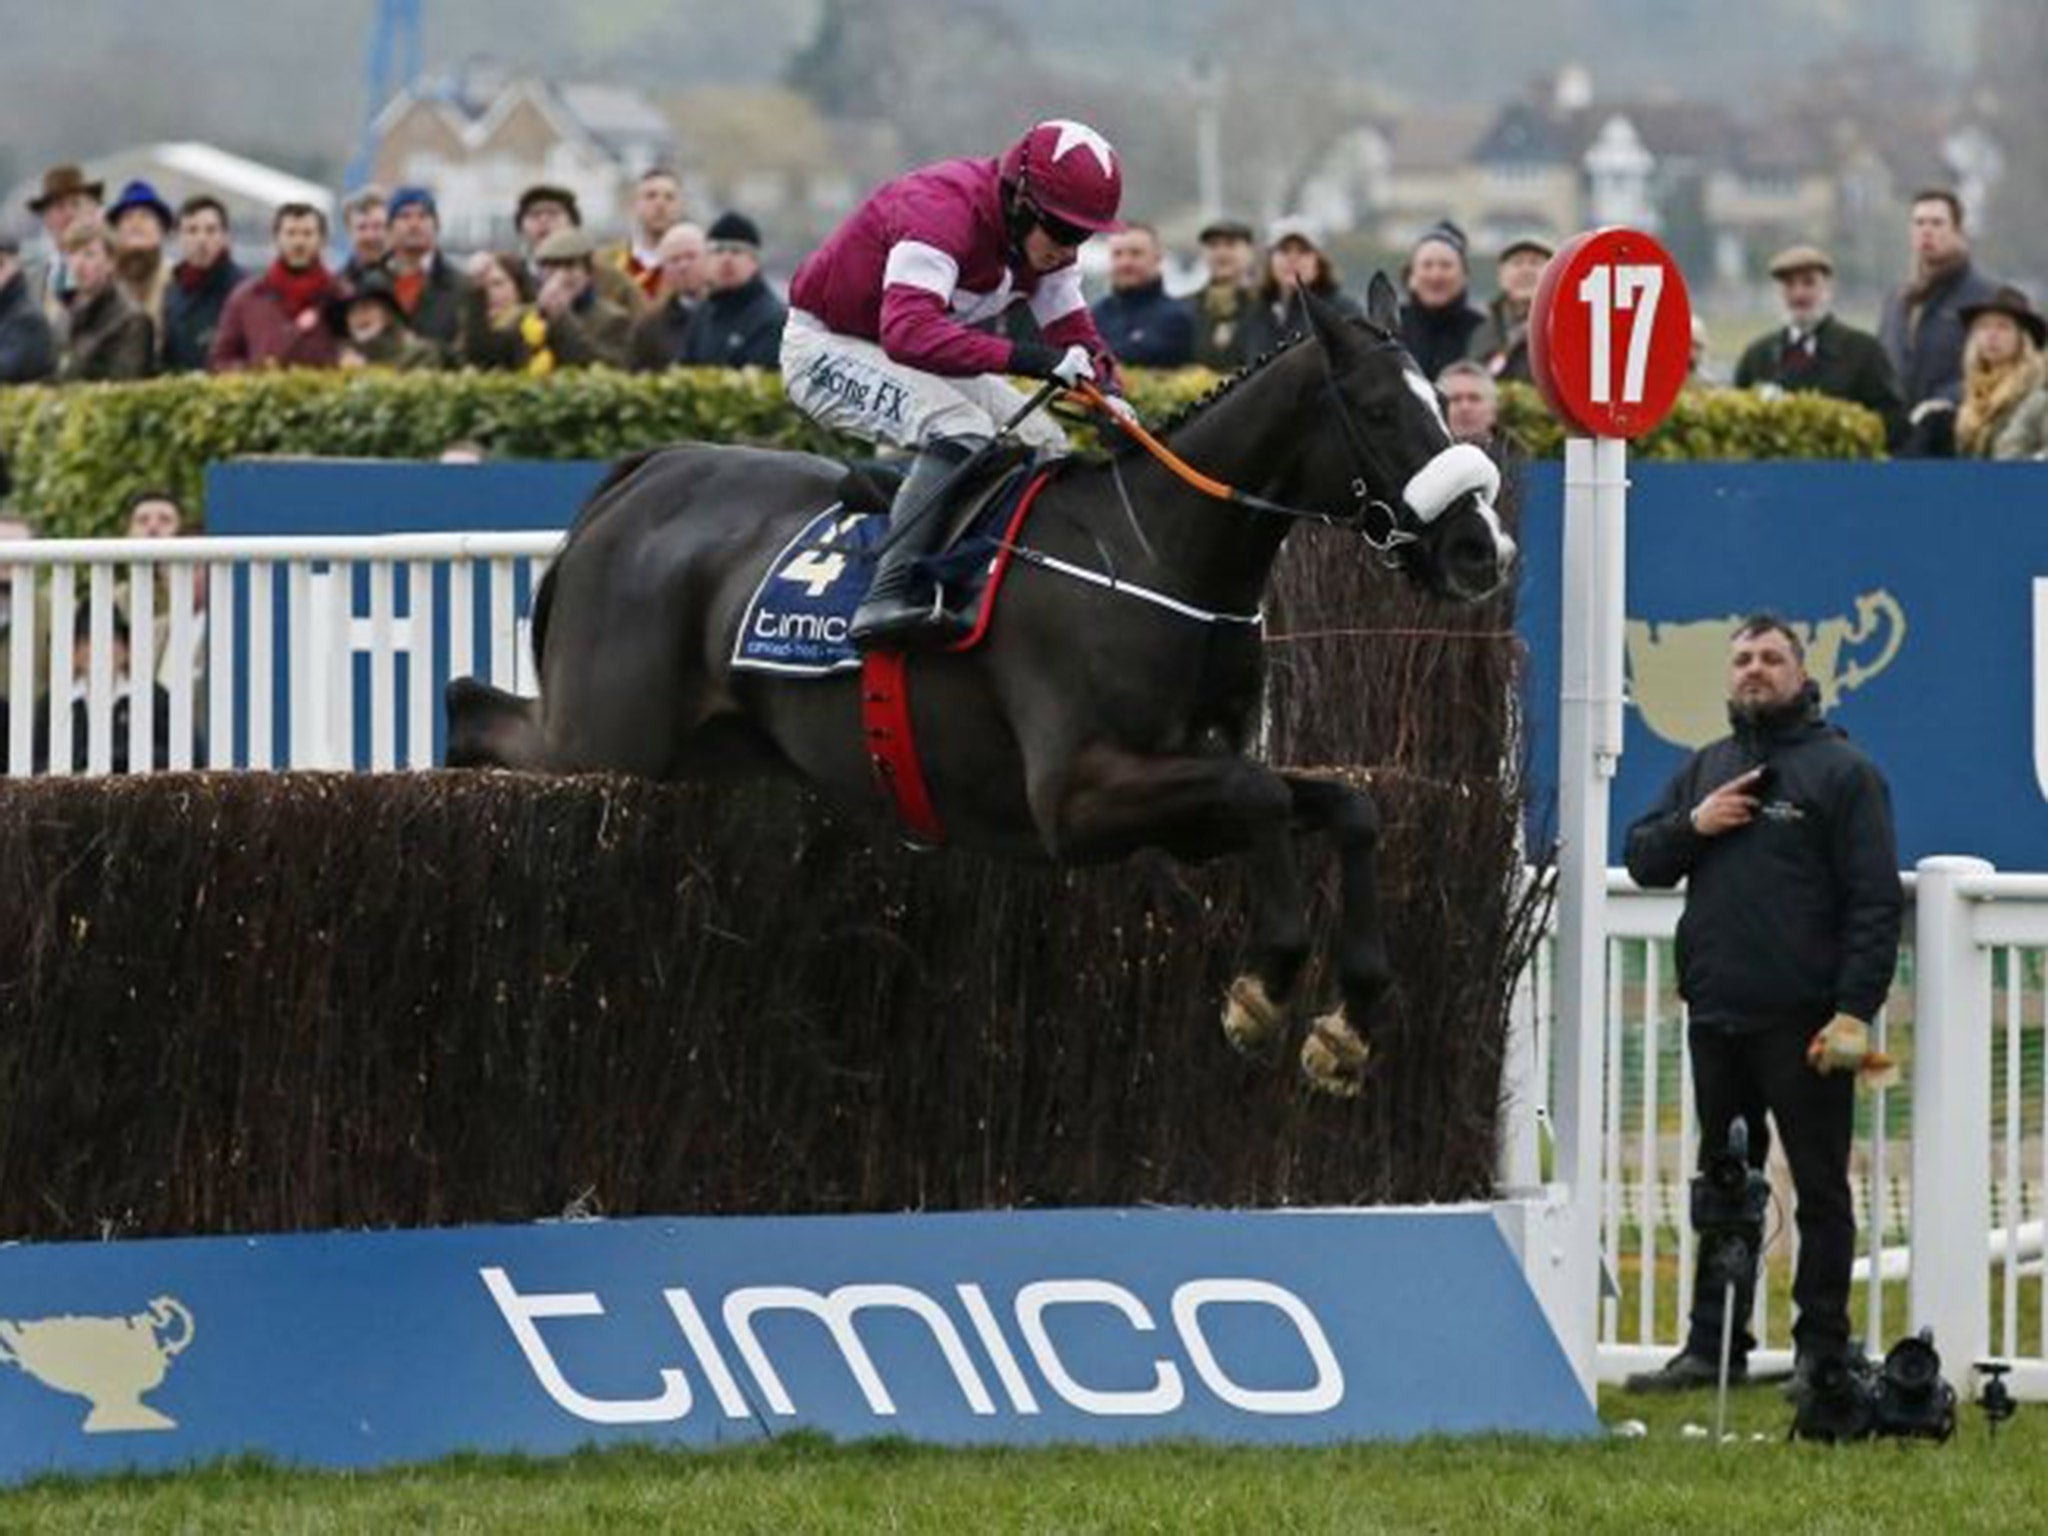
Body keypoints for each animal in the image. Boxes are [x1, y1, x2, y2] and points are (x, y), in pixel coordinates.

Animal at [460, 276, 1523, 1097]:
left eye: (1446, 404)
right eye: (1380, 411)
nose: (1482, 548)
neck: (1158, 551)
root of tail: (641, 477)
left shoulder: (1187, 794)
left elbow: (1347, 806)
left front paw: (1348, 1020)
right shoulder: (1077, 798)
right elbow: (1264, 796)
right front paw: (1263, 991)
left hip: (704, 755)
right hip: (604, 736)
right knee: (477, 707)